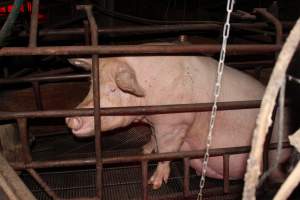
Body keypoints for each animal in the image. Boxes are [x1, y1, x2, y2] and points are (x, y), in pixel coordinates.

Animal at [65, 55, 290, 189]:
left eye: (113, 89)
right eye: (92, 85)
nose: (70, 119)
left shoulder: (174, 123)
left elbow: (166, 151)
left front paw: (154, 184)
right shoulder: (156, 124)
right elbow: (153, 138)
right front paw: (144, 151)